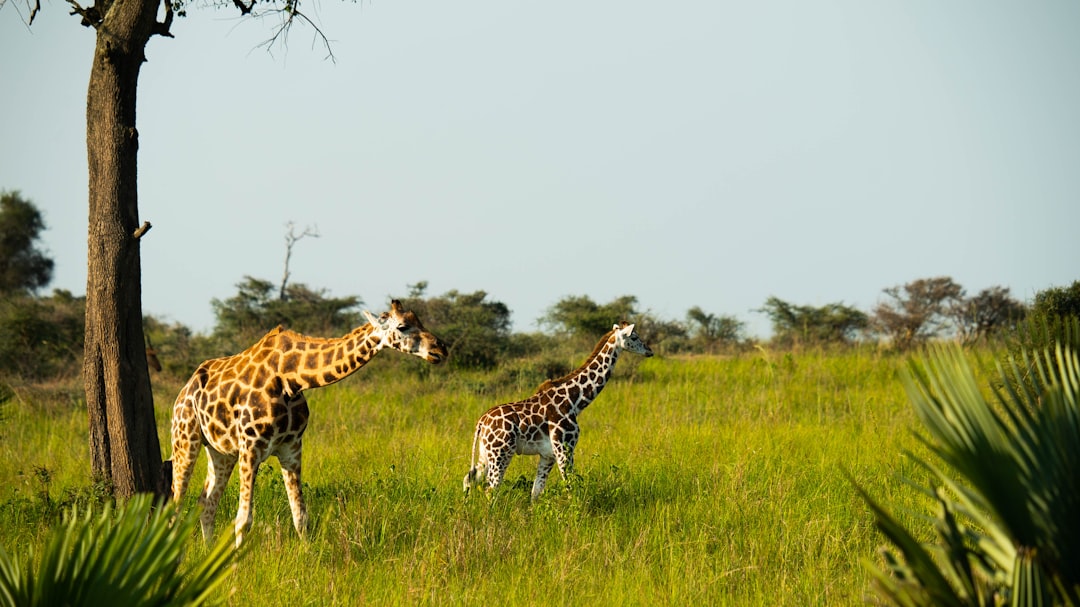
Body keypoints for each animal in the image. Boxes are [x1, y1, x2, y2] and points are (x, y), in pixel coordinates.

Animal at [169, 300, 448, 546]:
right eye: (402, 326)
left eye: (419, 321)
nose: (441, 349)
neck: (291, 378)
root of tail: (184, 390)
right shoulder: (250, 448)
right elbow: (243, 520)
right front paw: (236, 571)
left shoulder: (291, 448)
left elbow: (301, 517)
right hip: (185, 440)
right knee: (175, 504)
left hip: (220, 452)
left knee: (206, 504)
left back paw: (208, 552)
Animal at [463, 322, 653, 500]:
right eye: (634, 336)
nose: (649, 351)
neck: (574, 400)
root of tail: (481, 422)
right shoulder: (564, 447)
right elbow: (570, 487)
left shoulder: (548, 454)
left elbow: (536, 492)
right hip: (501, 452)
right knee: (491, 489)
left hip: (485, 453)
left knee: (469, 478)